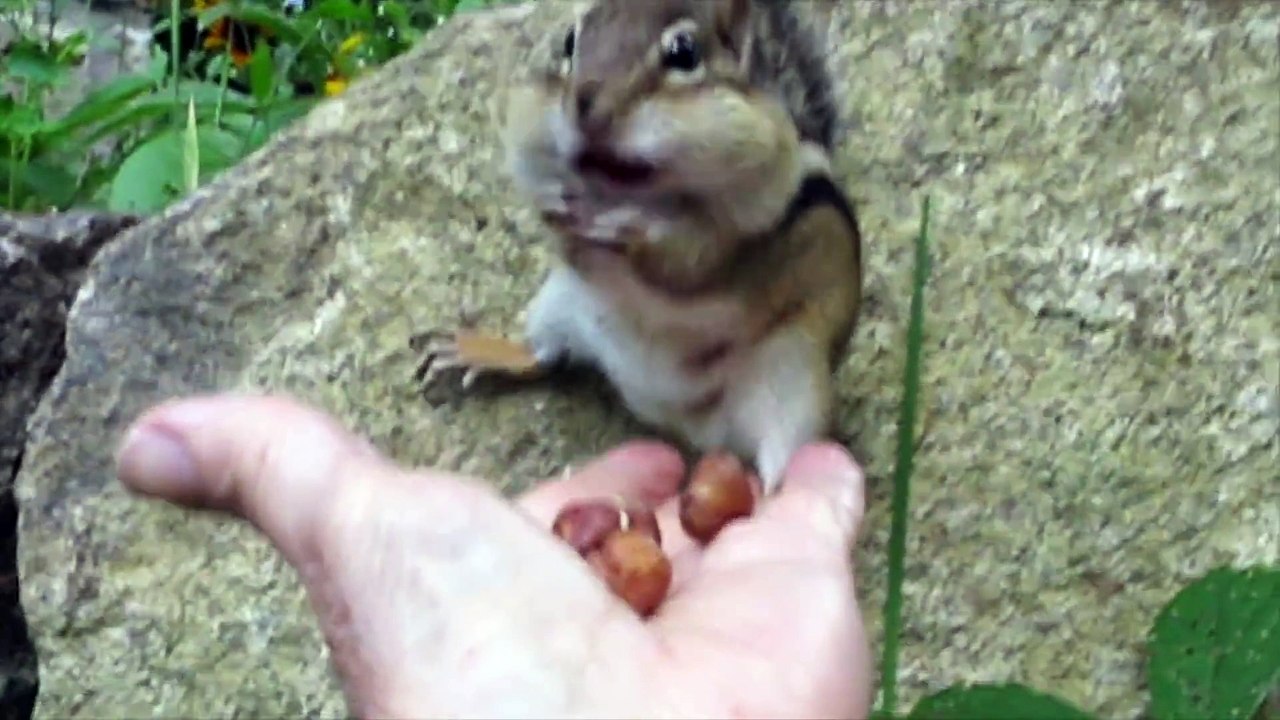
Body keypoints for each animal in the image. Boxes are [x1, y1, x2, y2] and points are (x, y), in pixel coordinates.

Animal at [413, 0, 863, 495]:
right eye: (570, 41)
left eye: (684, 52)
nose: (584, 100)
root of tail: (689, 427)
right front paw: (560, 206)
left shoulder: (739, 232)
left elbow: (686, 258)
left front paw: (623, 224)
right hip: (560, 303)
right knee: (545, 356)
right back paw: (479, 351)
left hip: (793, 382)